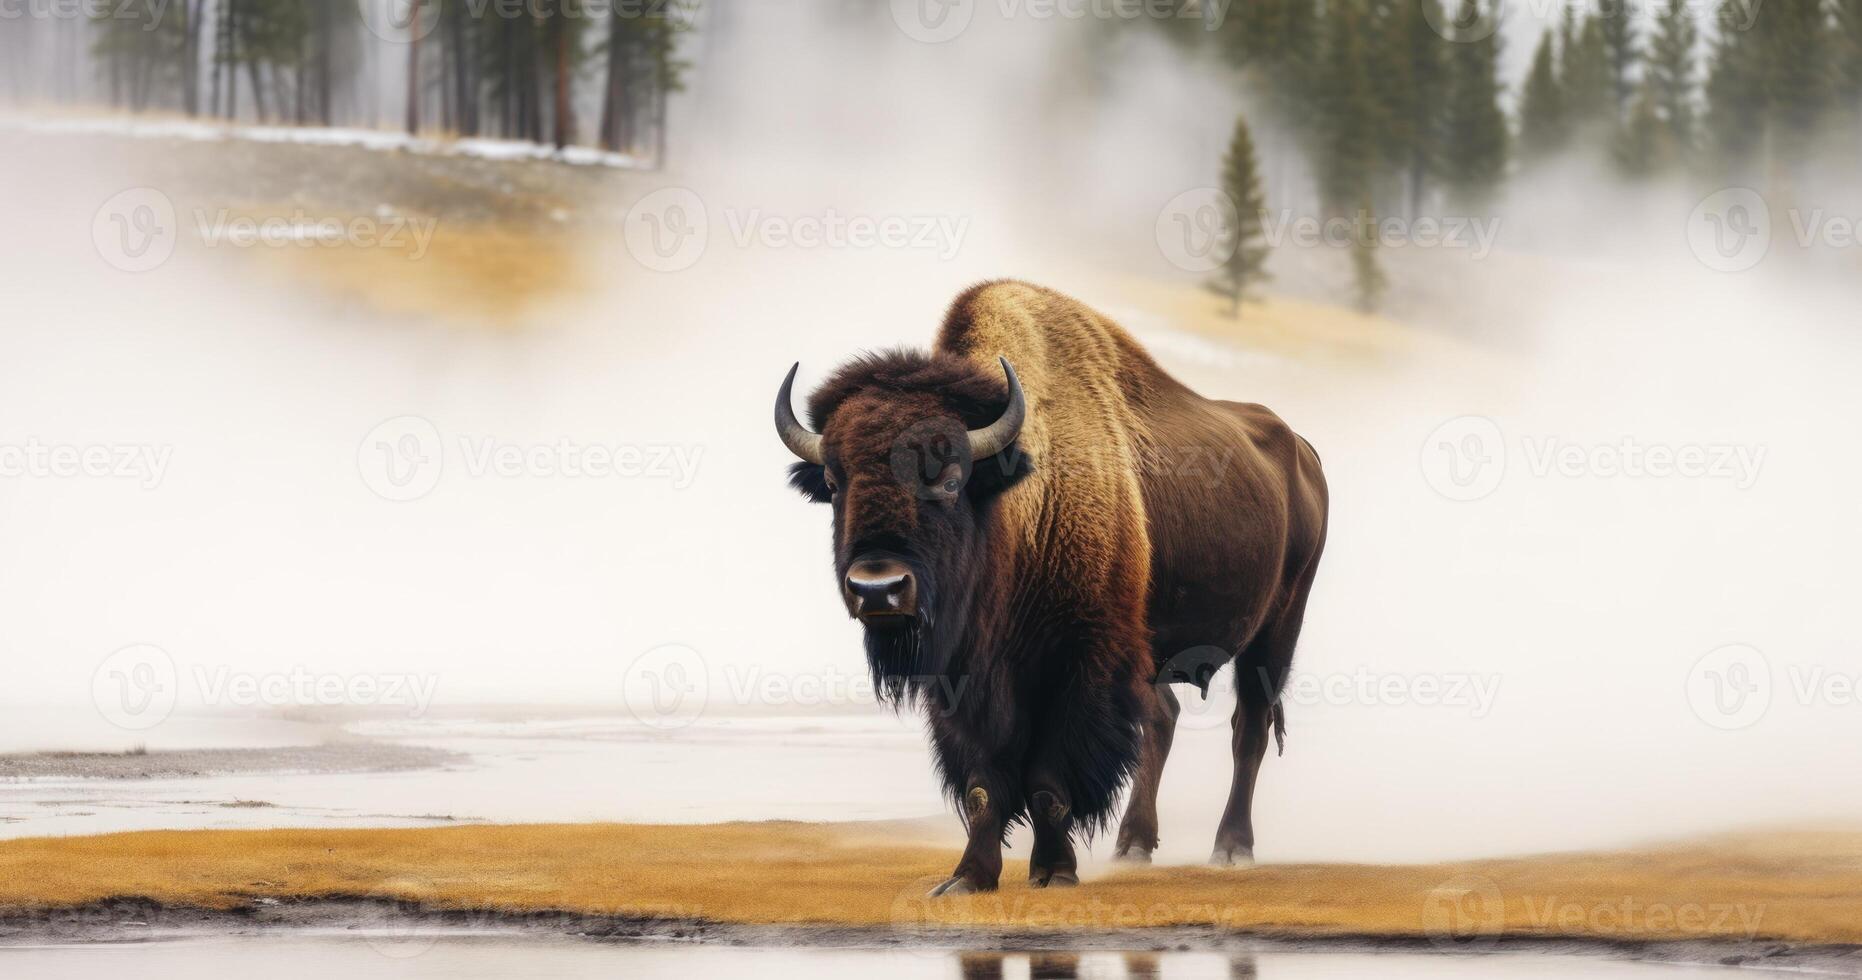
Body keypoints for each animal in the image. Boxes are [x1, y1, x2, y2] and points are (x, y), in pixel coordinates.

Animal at [770, 281, 1325, 894]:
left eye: (952, 477)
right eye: (833, 481)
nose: (878, 587)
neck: (1018, 498)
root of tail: (1303, 451)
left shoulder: (1076, 666)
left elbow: (1047, 780)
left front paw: (1055, 872)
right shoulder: (963, 680)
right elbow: (983, 782)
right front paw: (967, 878)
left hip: (1277, 628)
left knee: (1247, 728)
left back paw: (1230, 849)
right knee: (1164, 720)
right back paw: (1133, 846)